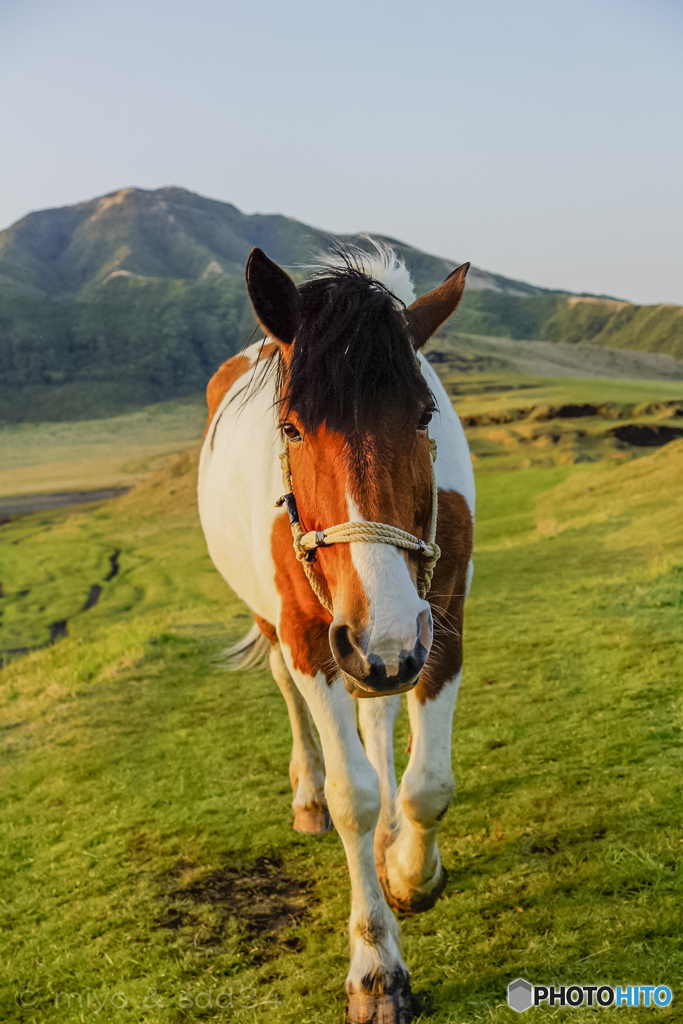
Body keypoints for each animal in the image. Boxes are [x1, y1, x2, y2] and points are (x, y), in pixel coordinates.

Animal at [197, 241, 475, 1024]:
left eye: (423, 415)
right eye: (291, 427)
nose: (385, 632)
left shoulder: (438, 626)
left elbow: (426, 784)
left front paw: (410, 872)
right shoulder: (314, 640)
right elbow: (357, 794)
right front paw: (376, 969)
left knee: (377, 712)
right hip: (297, 631)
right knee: (295, 701)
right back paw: (309, 798)